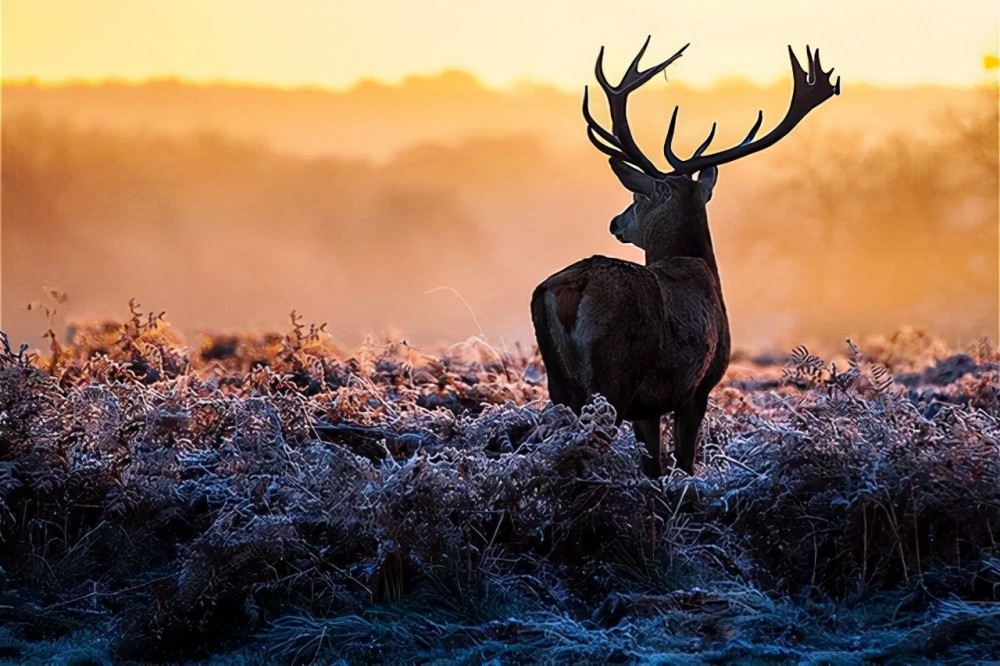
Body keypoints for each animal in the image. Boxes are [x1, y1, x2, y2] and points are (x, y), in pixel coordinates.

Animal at [528, 36, 840, 474]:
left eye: (636, 198)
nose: (616, 222)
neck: (695, 264)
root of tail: (575, 286)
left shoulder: (648, 407)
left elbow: (654, 470)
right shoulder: (696, 388)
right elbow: (684, 464)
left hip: (559, 381)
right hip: (614, 374)